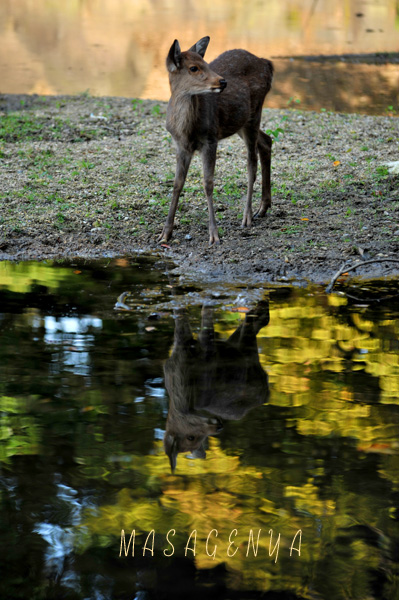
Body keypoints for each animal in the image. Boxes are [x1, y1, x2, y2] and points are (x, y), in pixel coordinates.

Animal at [159, 36, 276, 246]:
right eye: (194, 68)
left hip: (255, 113)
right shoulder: (180, 145)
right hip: (240, 122)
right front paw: (165, 233)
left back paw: (247, 216)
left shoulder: (210, 139)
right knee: (266, 141)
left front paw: (214, 235)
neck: (187, 129)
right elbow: (177, 183)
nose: (222, 81)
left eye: (205, 62)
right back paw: (263, 207)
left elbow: (208, 183)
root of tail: (267, 63)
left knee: (251, 164)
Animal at [163, 302, 272, 472]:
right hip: (242, 350)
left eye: (197, 438)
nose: (219, 427)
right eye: (191, 437)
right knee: (253, 323)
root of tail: (266, 393)